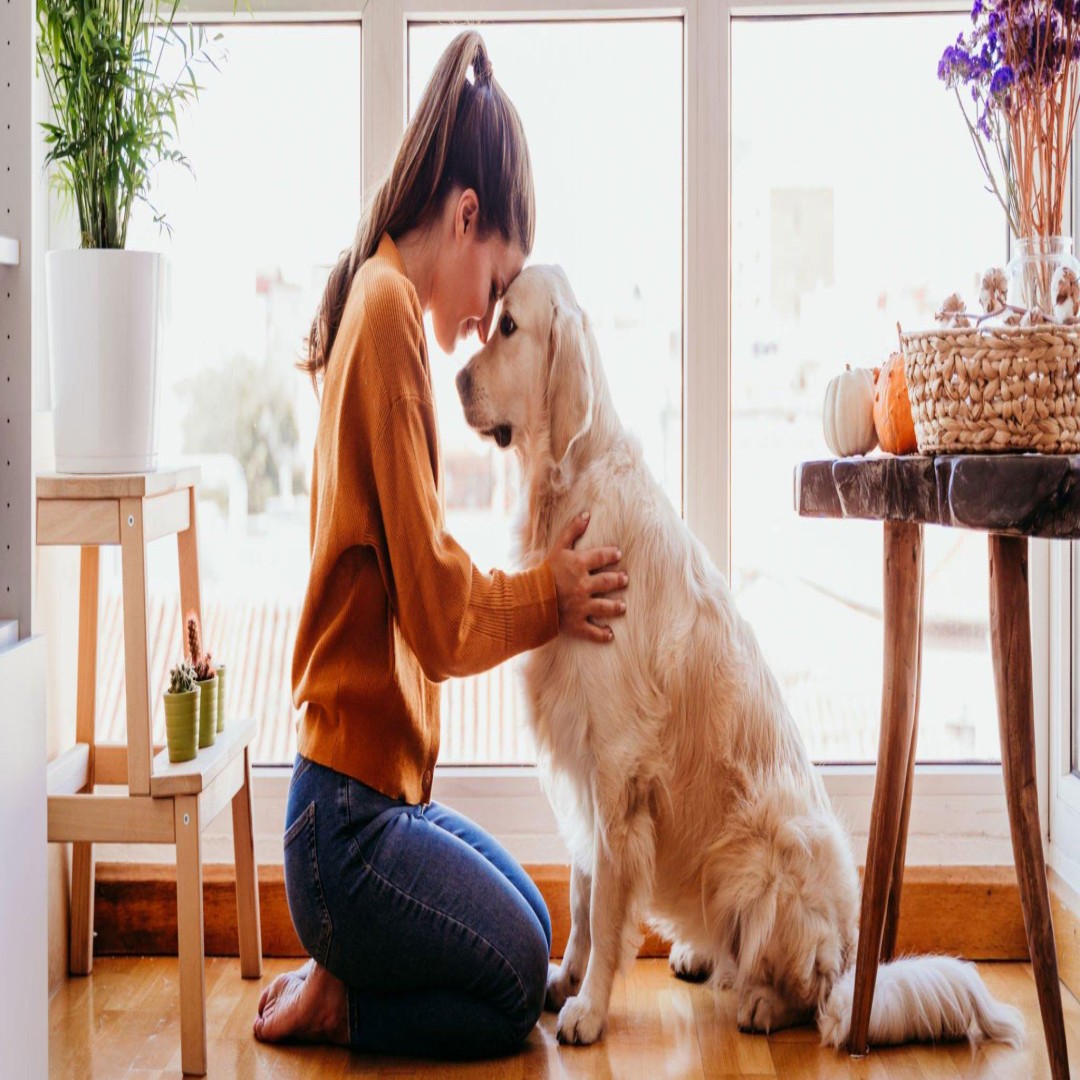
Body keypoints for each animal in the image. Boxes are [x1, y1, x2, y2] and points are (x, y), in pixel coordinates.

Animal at [451, 265, 1023, 1049]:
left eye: (507, 327)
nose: (454, 380)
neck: (572, 485)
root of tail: (854, 959)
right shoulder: (581, 764)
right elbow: (580, 890)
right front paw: (564, 980)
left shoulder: (616, 767)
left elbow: (605, 905)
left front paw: (588, 1008)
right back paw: (699, 957)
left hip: (758, 854)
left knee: (809, 995)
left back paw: (761, 1003)